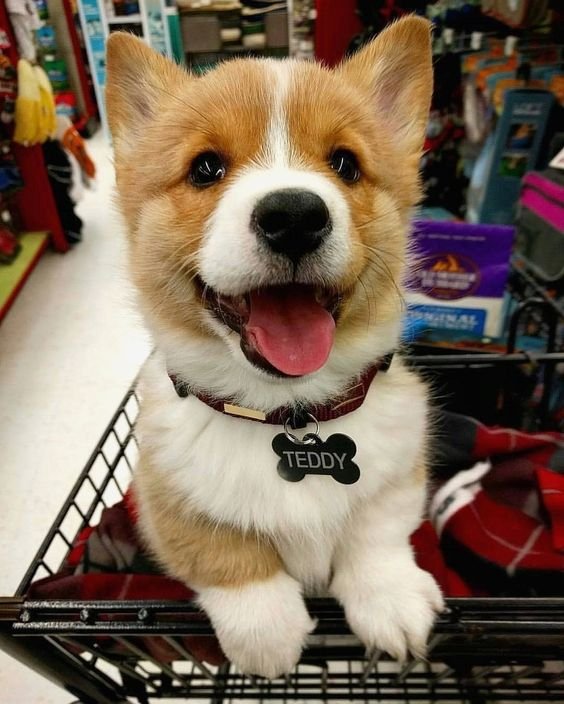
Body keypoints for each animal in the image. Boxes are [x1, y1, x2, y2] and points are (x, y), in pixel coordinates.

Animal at [104, 15, 440, 676]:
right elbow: (219, 549)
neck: (288, 412)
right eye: (205, 168)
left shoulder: (399, 467)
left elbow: (378, 530)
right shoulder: (159, 495)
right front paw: (266, 632)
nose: (294, 216)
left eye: (346, 164)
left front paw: (391, 600)